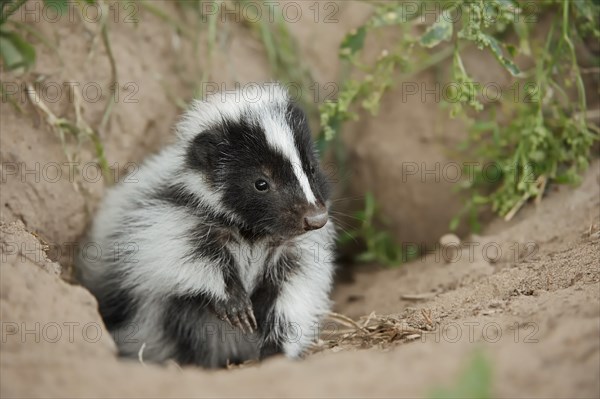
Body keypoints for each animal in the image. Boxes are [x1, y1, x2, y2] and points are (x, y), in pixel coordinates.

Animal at [77, 83, 336, 368]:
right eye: (261, 183)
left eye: (311, 169)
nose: (315, 218)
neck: (253, 235)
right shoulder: (170, 215)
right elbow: (182, 257)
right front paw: (233, 303)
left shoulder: (293, 252)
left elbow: (290, 298)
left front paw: (276, 352)